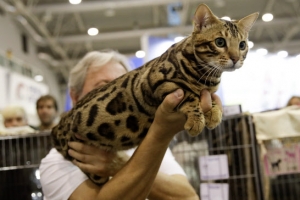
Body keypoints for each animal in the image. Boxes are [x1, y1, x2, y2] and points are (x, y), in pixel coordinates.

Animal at [51, 3, 258, 184]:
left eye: (242, 45)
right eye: (220, 42)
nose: (235, 59)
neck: (208, 76)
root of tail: (56, 128)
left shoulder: (208, 89)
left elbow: (213, 98)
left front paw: (214, 114)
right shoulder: (156, 82)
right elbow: (190, 95)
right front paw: (196, 120)